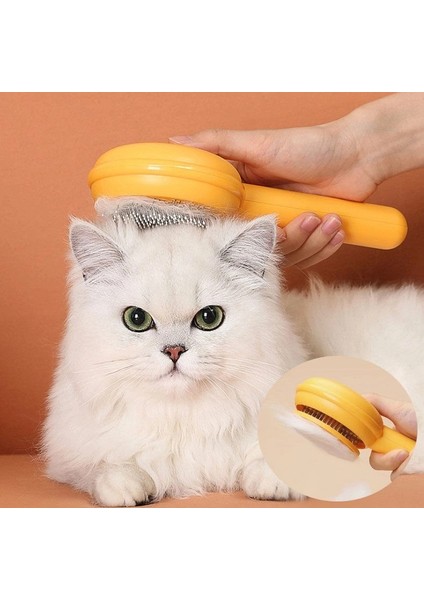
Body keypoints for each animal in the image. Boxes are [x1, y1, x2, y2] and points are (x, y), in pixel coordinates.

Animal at [42, 198, 424, 506]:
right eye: (136, 320)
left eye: (209, 318)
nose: (174, 351)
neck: (185, 417)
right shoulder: (76, 456)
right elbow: (108, 468)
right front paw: (127, 487)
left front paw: (270, 483)